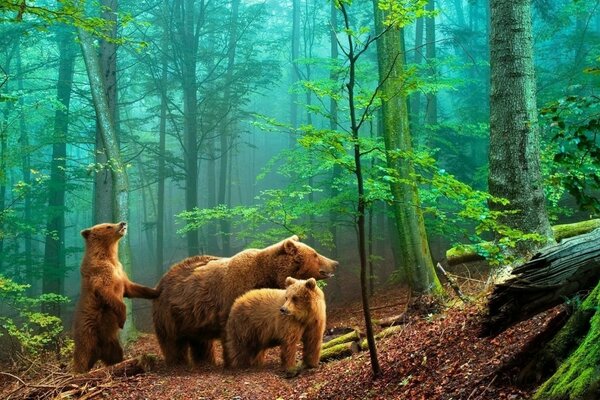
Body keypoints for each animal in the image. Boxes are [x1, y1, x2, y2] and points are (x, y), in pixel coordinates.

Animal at [72, 220, 159, 374]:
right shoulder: (100, 275)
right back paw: (78, 371)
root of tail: (98, 353)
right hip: (87, 334)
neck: (109, 257)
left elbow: (132, 288)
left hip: (111, 343)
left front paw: (156, 290)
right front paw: (122, 320)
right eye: (108, 226)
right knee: (82, 356)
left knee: (116, 354)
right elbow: (108, 294)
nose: (123, 222)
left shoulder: (120, 272)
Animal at [150, 236, 338, 368]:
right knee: (173, 342)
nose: (335, 263)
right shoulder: (234, 297)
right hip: (171, 313)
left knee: (201, 343)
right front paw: (238, 362)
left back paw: (205, 362)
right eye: (315, 254)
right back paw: (178, 363)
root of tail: (160, 282)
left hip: (193, 319)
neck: (267, 276)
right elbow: (233, 335)